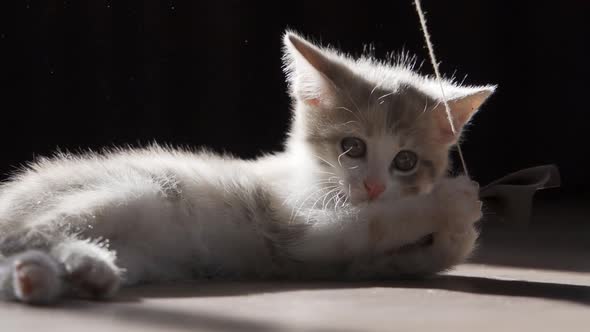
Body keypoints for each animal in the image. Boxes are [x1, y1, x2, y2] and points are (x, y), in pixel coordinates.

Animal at [0, 32, 494, 304]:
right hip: (139, 188)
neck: (311, 173)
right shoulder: (300, 229)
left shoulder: (350, 265)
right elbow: (370, 224)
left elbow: (418, 257)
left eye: (405, 161)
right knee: (21, 236)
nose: (373, 187)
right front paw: (454, 202)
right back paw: (56, 266)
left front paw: (456, 233)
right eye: (351, 147)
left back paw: (71, 272)